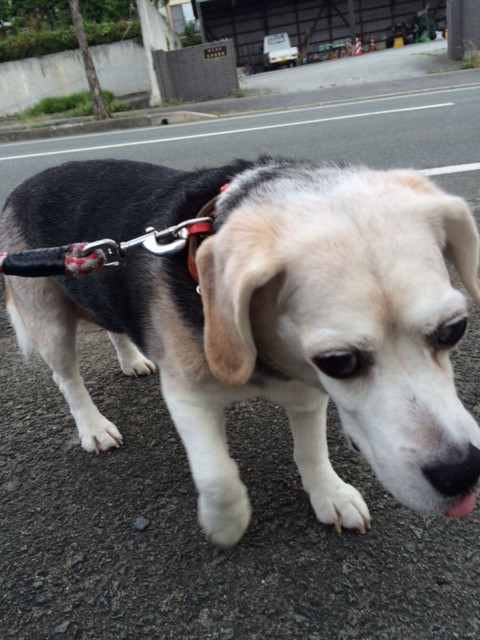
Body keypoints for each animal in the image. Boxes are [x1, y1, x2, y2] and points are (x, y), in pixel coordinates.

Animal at [2, 157, 480, 547]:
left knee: (115, 326)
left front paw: (329, 493)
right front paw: (225, 524)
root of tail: (25, 184)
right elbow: (217, 476)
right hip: (49, 321)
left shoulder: (307, 391)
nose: (462, 472)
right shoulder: (188, 397)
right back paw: (93, 426)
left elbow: (311, 451)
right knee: (66, 377)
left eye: (454, 330)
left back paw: (131, 358)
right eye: (339, 362)